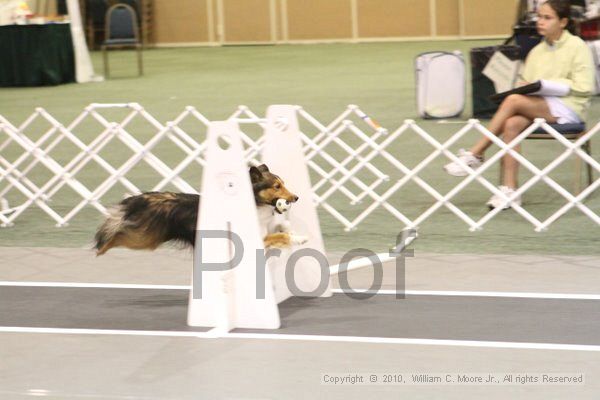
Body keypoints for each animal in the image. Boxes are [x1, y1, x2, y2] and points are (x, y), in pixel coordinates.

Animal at [96, 165, 310, 256]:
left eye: (283, 184)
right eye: (276, 186)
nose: (296, 198)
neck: (256, 203)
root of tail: (142, 197)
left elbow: (282, 229)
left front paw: (294, 234)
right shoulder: (253, 239)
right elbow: (281, 236)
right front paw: (299, 239)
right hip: (144, 237)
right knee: (117, 235)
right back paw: (101, 249)